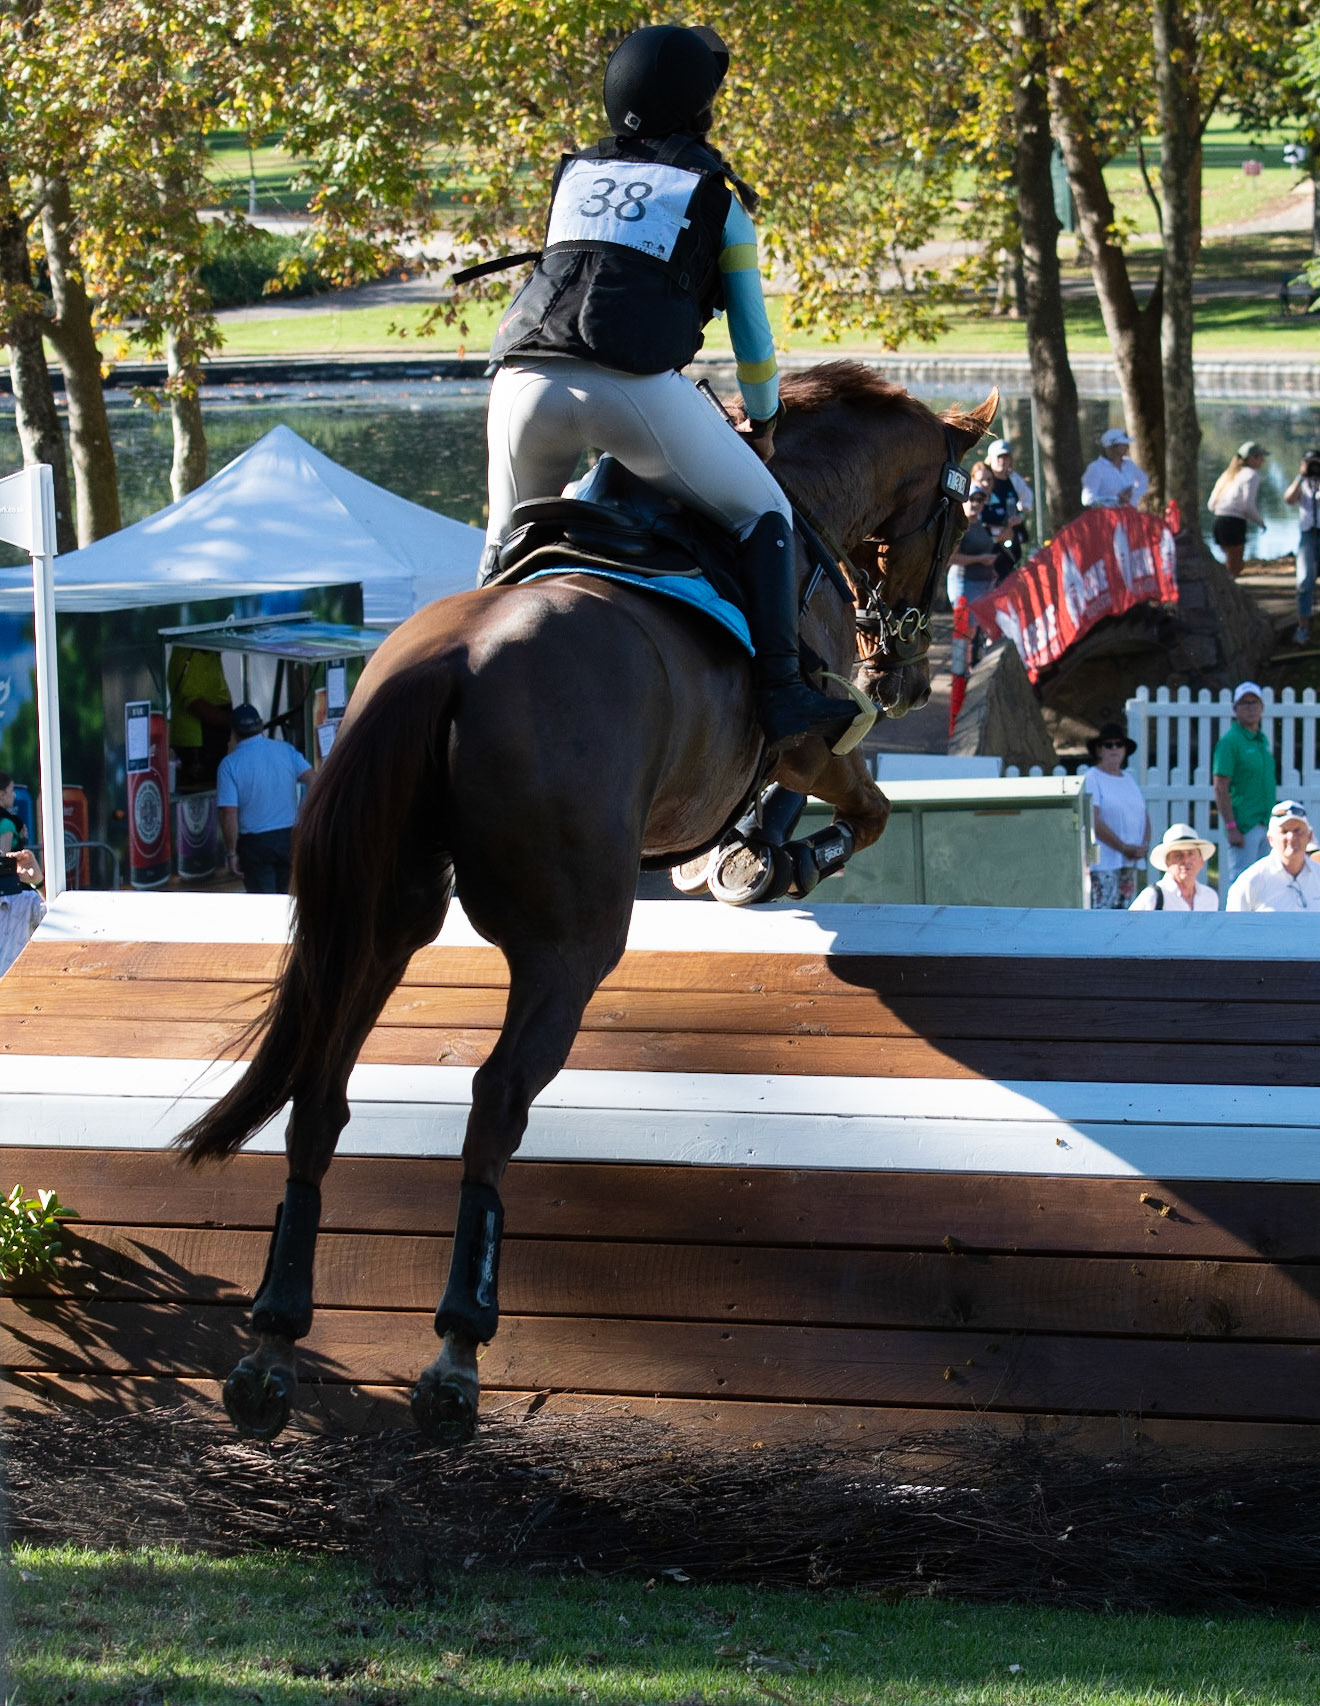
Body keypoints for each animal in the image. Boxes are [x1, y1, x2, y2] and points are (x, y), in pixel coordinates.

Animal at [180, 359, 995, 1439]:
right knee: (495, 1100)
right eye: (958, 519)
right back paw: (456, 1351)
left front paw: (739, 860)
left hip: (385, 918)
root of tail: (446, 664)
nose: (901, 677)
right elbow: (862, 808)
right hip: (571, 944)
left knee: (320, 1092)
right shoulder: (807, 738)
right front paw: (772, 862)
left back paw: (273, 1343)